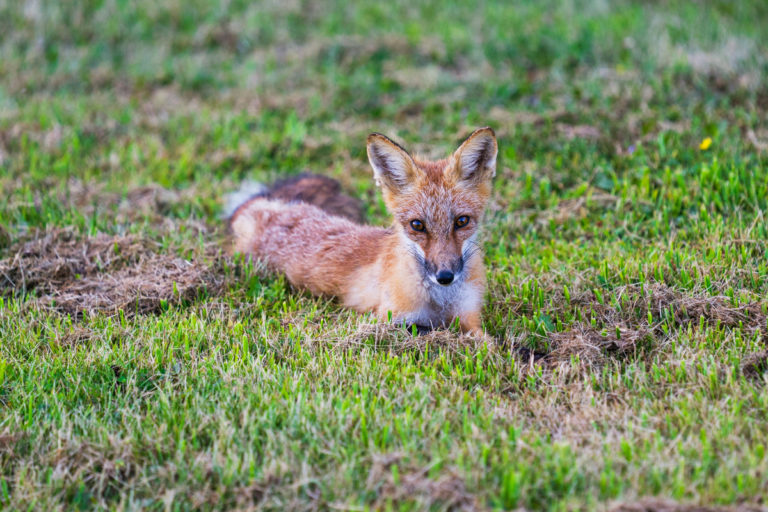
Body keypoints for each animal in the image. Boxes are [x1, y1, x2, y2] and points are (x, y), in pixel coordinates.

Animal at [228, 127, 498, 336]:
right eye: (417, 225)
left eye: (462, 221)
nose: (445, 276)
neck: (442, 300)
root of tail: (257, 207)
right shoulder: (390, 318)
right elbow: (429, 329)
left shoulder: (470, 316)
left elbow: (486, 342)